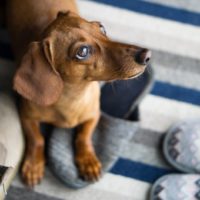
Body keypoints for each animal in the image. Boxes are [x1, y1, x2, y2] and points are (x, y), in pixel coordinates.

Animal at [4, 0, 151, 186]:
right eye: (82, 51)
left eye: (101, 28)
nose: (146, 55)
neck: (72, 98)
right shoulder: (25, 115)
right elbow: (37, 139)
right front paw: (34, 165)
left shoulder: (93, 115)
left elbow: (83, 136)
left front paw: (88, 161)